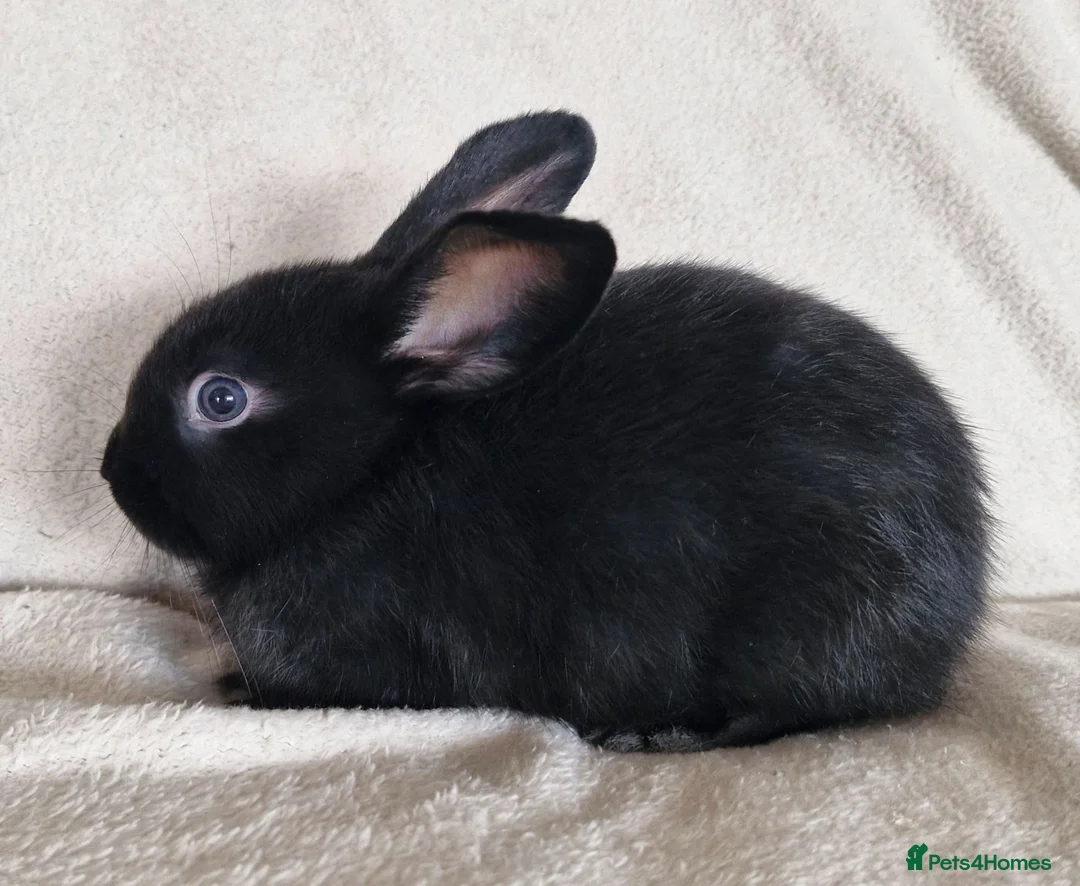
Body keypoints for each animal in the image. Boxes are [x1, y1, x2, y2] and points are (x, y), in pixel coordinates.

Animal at [100, 111, 992, 752]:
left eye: (220, 398)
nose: (111, 471)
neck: (364, 478)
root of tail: (957, 613)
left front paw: (239, 691)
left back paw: (659, 734)